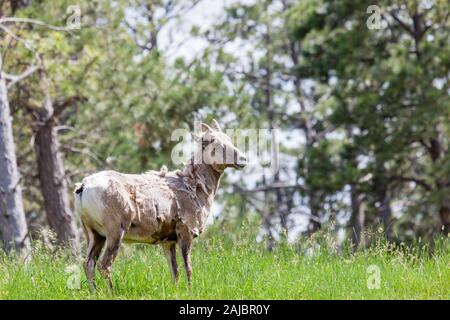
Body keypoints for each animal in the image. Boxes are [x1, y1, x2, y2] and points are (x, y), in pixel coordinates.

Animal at [75, 120, 248, 290]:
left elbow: (175, 271)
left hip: (95, 235)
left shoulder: (168, 242)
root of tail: (84, 186)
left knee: (88, 264)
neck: (194, 187)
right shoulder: (185, 233)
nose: (243, 159)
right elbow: (188, 269)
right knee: (104, 265)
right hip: (115, 232)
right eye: (212, 142)